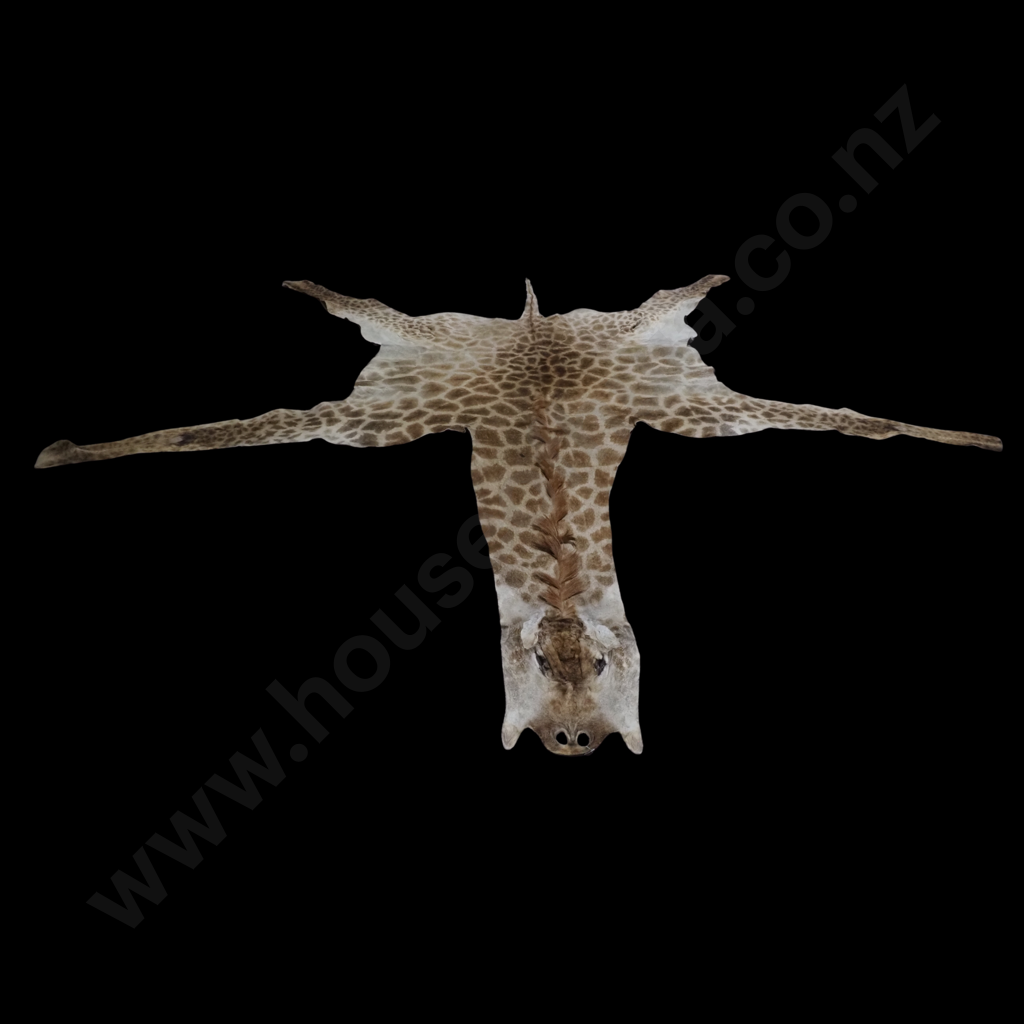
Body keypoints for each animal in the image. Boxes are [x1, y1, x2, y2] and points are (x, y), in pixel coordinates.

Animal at [34, 276, 1003, 755]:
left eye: (606, 664)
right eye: (536, 661)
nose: (572, 739)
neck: (563, 571)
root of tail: (533, 326)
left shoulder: (696, 404)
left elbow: (858, 420)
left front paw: (977, 438)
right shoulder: (363, 419)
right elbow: (219, 431)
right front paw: (66, 454)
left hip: (623, 351)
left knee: (660, 309)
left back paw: (702, 282)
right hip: (433, 350)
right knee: (369, 316)